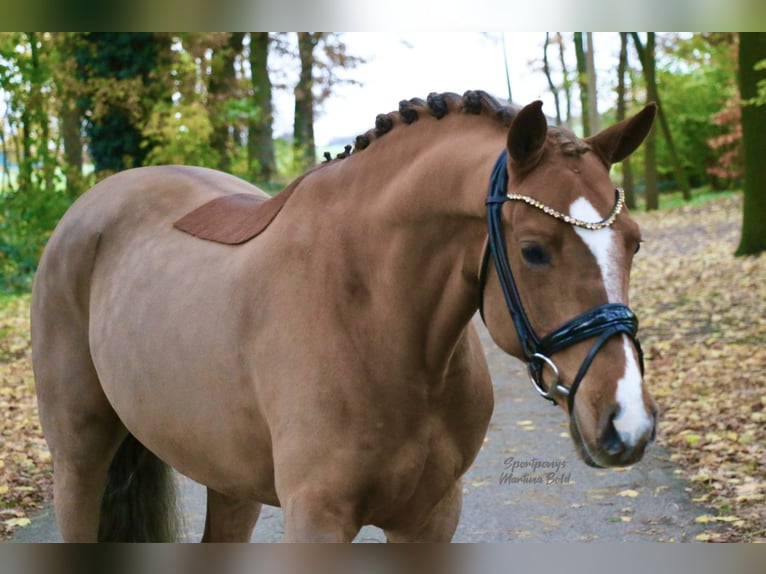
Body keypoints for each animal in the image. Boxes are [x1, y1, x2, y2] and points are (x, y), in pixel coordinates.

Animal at [31, 92, 660, 544]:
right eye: (533, 250)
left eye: (634, 241)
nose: (627, 422)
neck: (375, 321)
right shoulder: (317, 520)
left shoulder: (431, 518)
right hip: (79, 462)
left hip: (229, 479)